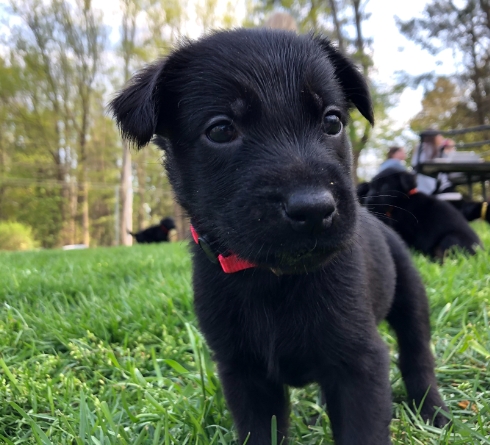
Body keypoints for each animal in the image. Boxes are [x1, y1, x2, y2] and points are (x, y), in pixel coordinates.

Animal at [110, 28, 448, 444]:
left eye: (332, 121)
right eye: (220, 129)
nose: (314, 208)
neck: (274, 280)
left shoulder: (360, 361)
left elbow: (362, 427)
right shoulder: (244, 374)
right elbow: (260, 430)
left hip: (410, 295)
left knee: (418, 355)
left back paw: (433, 412)